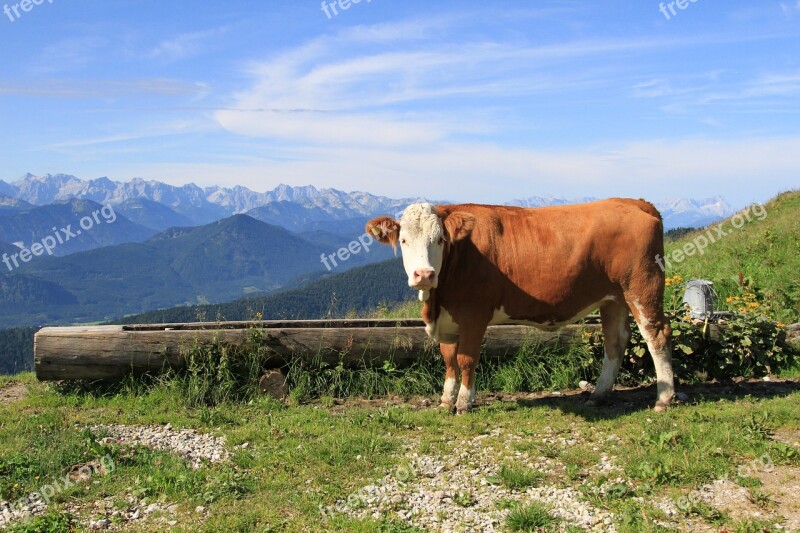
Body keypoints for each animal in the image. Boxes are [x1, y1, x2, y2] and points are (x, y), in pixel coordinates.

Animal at [368, 197, 676, 414]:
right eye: (404, 240)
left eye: (440, 239)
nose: (424, 275)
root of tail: (635, 202)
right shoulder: (448, 318)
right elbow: (448, 359)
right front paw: (445, 400)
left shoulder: (474, 314)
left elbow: (466, 359)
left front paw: (464, 403)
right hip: (613, 298)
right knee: (616, 340)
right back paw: (599, 395)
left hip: (642, 287)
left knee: (656, 335)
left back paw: (663, 398)